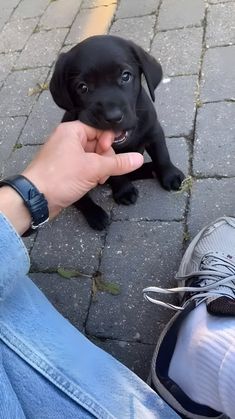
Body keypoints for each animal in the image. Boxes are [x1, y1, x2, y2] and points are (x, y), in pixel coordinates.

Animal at [50, 34, 185, 231]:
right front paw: (124, 191)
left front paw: (169, 174)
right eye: (82, 87)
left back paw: (151, 169)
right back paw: (96, 215)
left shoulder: (154, 130)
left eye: (125, 76)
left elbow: (162, 154)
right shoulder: (104, 155)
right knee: (81, 200)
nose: (113, 116)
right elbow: (116, 174)